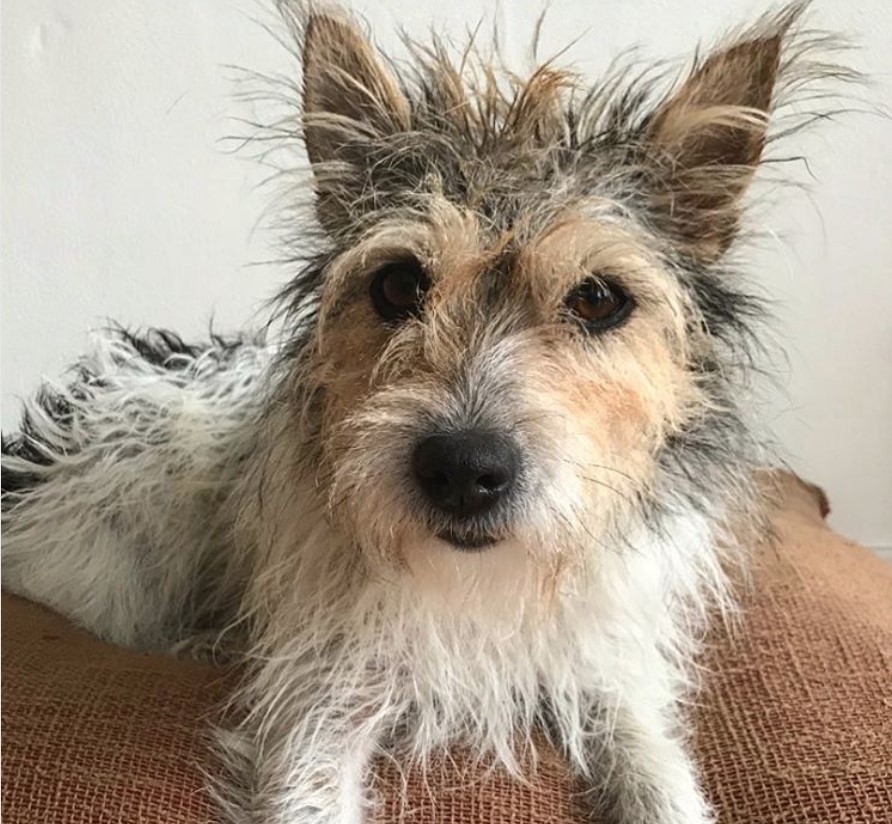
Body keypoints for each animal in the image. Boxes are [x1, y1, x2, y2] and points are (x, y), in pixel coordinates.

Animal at [1, 1, 852, 824]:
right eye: (399, 285)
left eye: (597, 298)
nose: (463, 470)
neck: (481, 581)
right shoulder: (322, 704)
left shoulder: (604, 672)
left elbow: (659, 770)